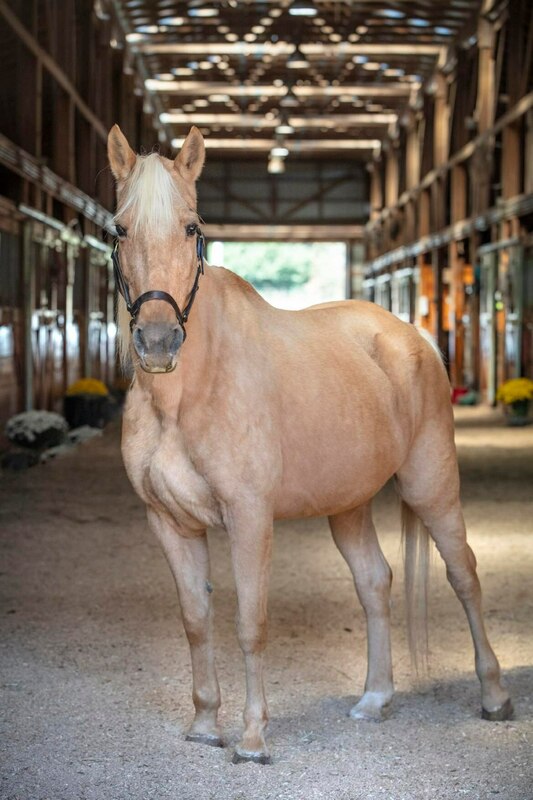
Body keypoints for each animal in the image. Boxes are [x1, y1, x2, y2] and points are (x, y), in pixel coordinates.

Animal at [107, 123, 512, 764]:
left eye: (191, 228)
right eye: (121, 230)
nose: (157, 340)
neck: (190, 391)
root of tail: (412, 334)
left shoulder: (250, 518)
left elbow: (250, 622)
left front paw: (252, 739)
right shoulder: (170, 523)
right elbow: (196, 620)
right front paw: (204, 724)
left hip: (431, 484)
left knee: (464, 575)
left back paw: (494, 697)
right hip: (348, 506)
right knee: (375, 581)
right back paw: (375, 699)